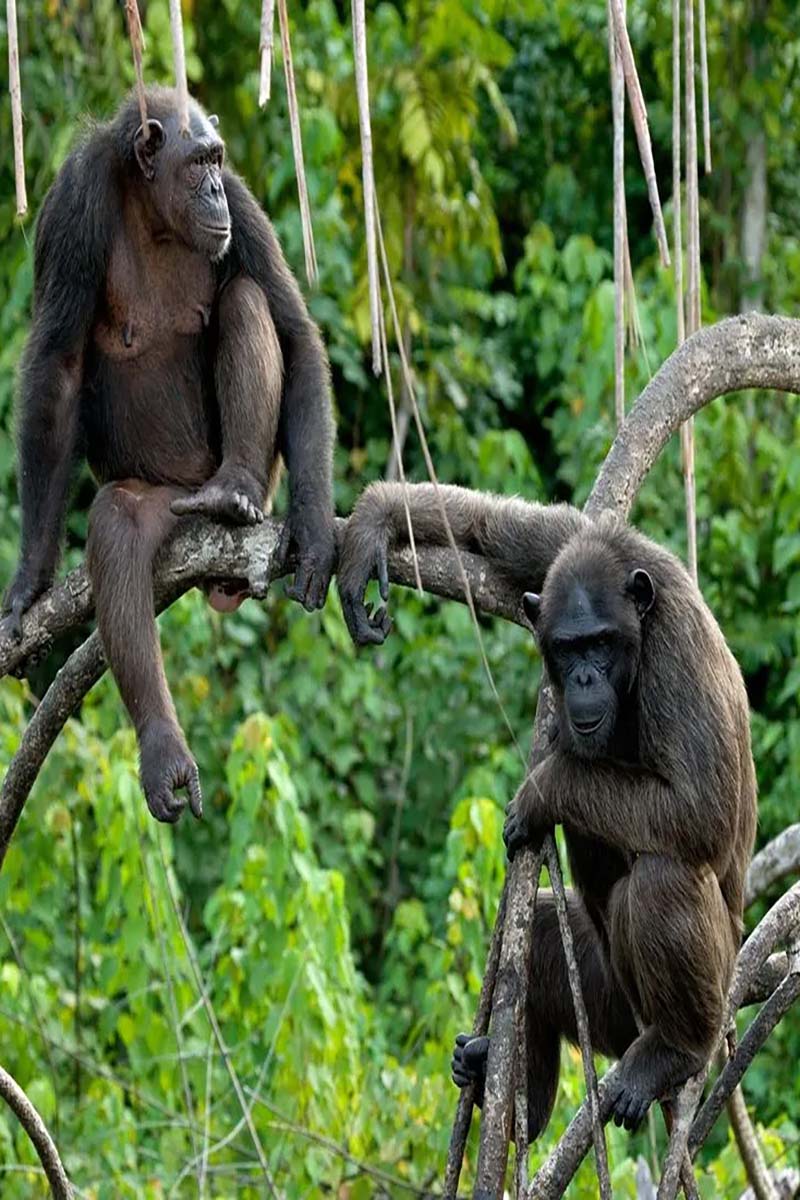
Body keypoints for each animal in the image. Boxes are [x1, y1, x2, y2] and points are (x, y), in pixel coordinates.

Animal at [2, 87, 335, 825]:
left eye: (217, 161)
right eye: (196, 163)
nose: (210, 187)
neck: (150, 210)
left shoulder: (243, 207)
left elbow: (296, 335)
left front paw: (318, 532)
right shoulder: (70, 209)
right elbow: (57, 373)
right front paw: (30, 579)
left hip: (247, 478)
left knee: (245, 297)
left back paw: (236, 493)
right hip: (163, 498)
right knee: (120, 528)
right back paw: (164, 752)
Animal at [338, 477, 758, 1132]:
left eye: (601, 644)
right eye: (567, 648)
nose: (583, 678)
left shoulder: (679, 657)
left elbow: (699, 808)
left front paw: (543, 789)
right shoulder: (565, 546)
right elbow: (498, 529)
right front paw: (373, 526)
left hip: (706, 1000)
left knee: (665, 875)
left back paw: (673, 1049)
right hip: (606, 1005)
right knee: (537, 930)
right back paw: (516, 1095)